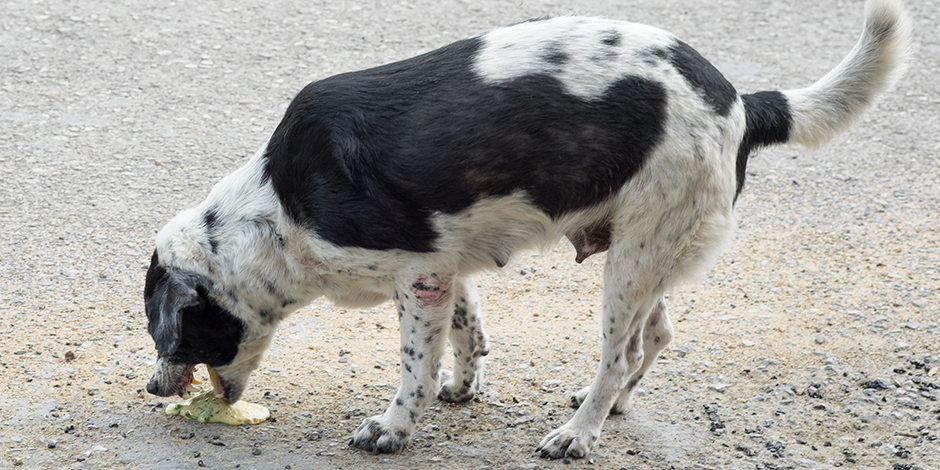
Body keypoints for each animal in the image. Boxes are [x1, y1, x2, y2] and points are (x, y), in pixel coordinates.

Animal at [147, 0, 912, 458]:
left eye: (169, 333)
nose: (153, 390)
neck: (278, 209)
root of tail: (742, 101)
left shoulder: (417, 277)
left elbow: (414, 366)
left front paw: (394, 427)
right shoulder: (445, 267)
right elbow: (468, 335)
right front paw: (461, 389)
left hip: (632, 261)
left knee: (620, 354)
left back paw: (578, 433)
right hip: (651, 251)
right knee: (656, 335)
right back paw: (609, 409)